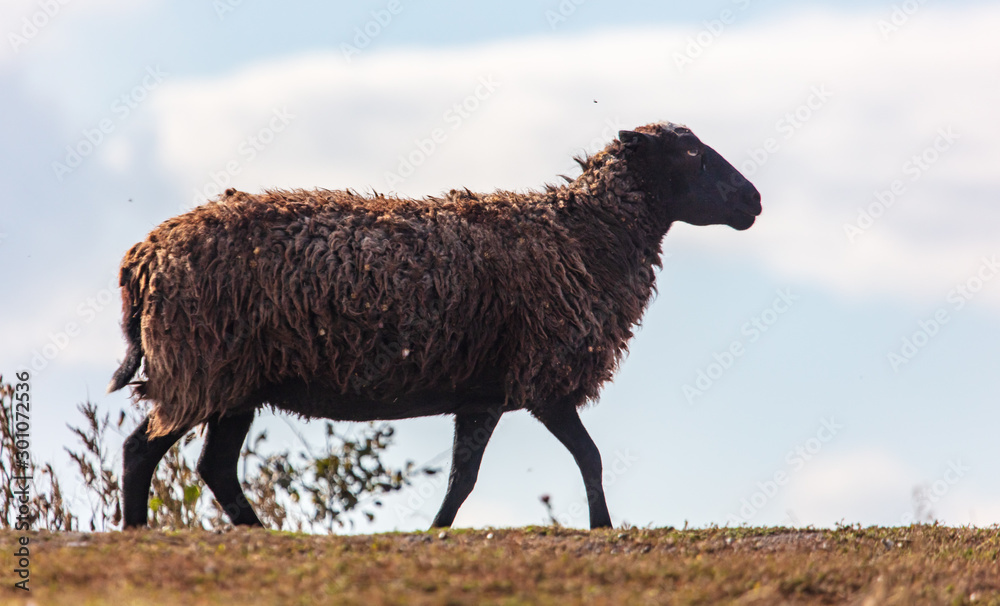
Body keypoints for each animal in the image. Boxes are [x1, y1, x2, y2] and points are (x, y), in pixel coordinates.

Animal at [111, 121, 761, 530]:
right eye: (693, 155)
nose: (753, 202)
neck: (582, 236)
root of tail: (144, 258)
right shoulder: (542, 380)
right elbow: (590, 457)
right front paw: (603, 528)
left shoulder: (482, 394)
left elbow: (463, 479)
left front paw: (437, 530)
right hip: (202, 365)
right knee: (142, 450)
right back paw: (140, 532)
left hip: (233, 382)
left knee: (214, 468)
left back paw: (259, 533)